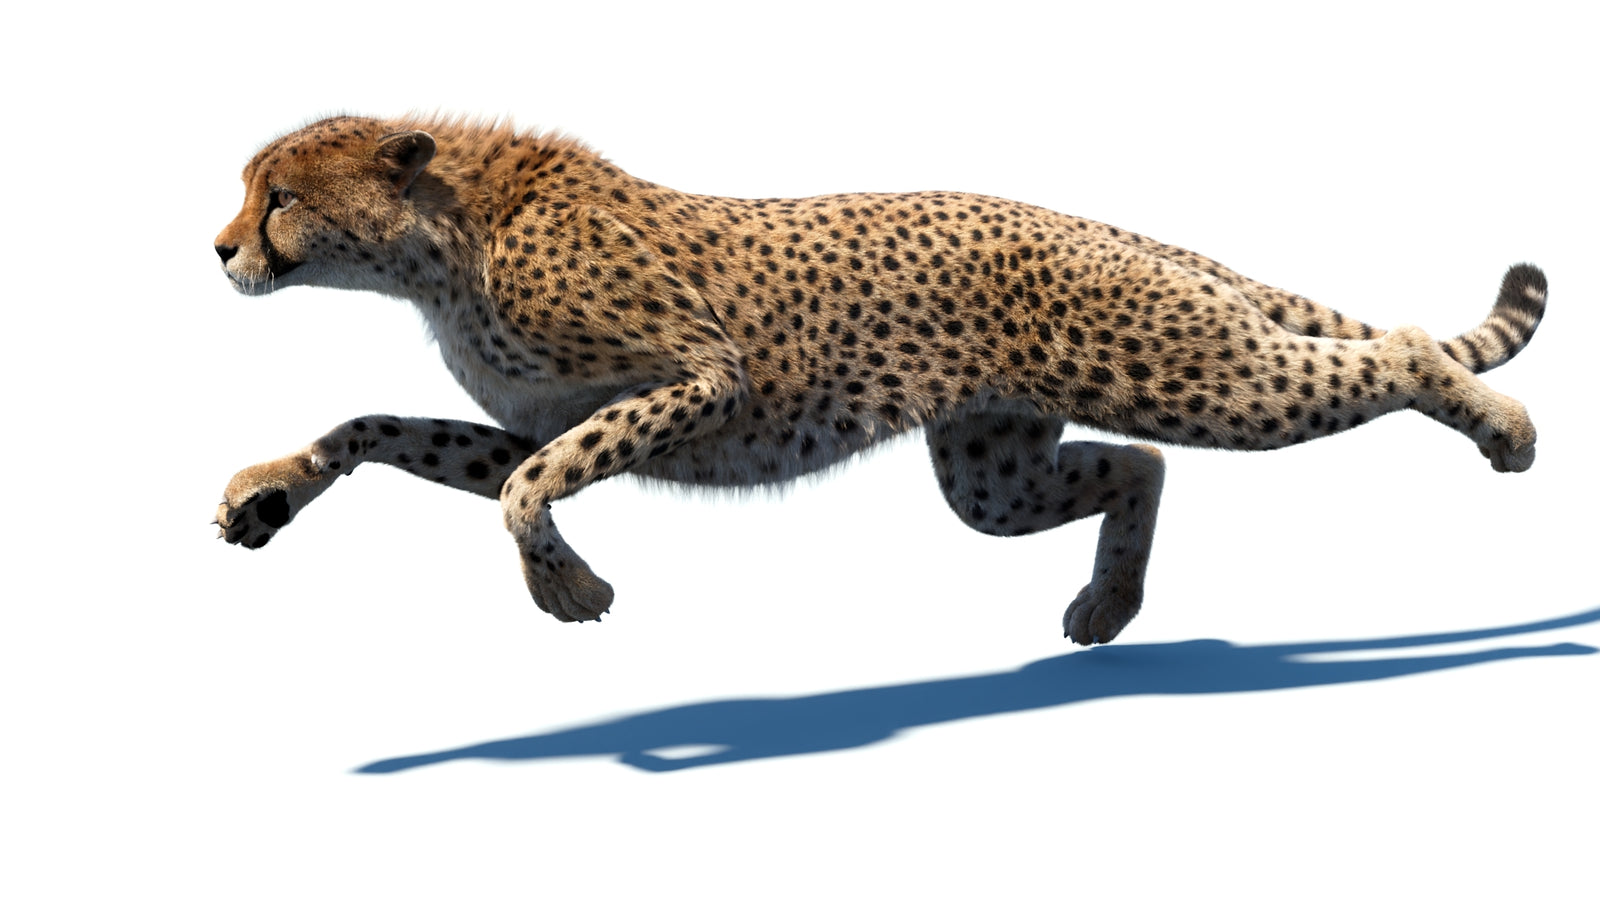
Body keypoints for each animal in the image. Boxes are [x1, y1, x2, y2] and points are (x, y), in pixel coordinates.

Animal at [213, 115, 1547, 645]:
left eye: (279, 196)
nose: (220, 249)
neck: (440, 246)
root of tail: (1093, 222)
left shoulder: (699, 380)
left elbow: (524, 489)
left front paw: (570, 591)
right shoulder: (553, 417)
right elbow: (393, 431)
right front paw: (265, 493)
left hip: (1188, 371)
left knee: (1398, 349)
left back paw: (1509, 431)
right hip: (994, 474)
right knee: (1136, 466)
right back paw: (1105, 607)